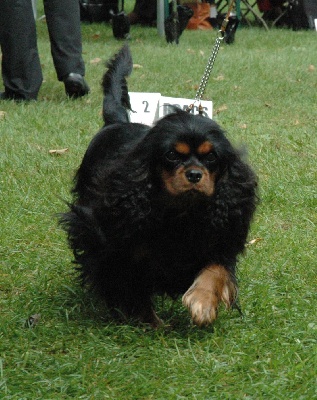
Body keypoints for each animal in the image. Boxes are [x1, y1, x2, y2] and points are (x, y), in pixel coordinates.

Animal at [60, 44, 258, 324]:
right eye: (172, 155)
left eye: (211, 157)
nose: (195, 174)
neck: (180, 212)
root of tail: (117, 121)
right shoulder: (108, 236)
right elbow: (126, 281)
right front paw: (148, 321)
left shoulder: (218, 238)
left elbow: (216, 269)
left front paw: (203, 302)